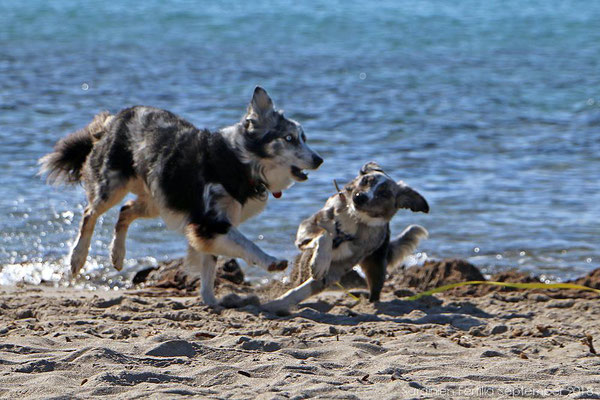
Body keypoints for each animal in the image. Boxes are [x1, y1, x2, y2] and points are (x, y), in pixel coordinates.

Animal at [40, 87, 324, 304]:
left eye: (304, 137)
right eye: (289, 138)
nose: (319, 159)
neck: (243, 162)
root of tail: (115, 118)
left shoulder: (208, 227)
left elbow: (209, 265)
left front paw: (210, 301)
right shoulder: (210, 221)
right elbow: (246, 244)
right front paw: (271, 261)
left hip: (158, 200)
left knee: (125, 211)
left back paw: (117, 255)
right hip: (112, 186)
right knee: (90, 214)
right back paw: (77, 258)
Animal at [264, 161, 428, 314]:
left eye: (384, 194)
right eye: (366, 180)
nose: (360, 197)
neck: (354, 217)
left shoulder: (335, 270)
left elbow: (303, 290)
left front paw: (276, 304)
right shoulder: (308, 227)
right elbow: (324, 235)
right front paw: (320, 261)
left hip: (376, 265)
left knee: (375, 289)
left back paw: (370, 304)